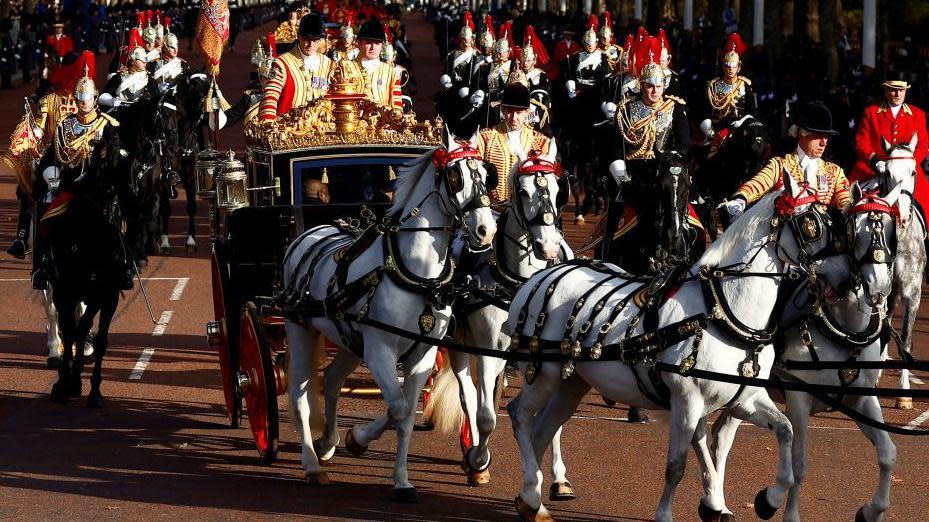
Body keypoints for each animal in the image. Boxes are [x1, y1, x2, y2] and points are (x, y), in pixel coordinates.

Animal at [282, 136, 496, 498]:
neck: (417, 275)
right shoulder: (380, 349)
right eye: (456, 176)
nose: (486, 230)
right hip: (300, 329)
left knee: (332, 380)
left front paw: (400, 479)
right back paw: (311, 464)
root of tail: (308, 234)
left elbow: (406, 415)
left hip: (349, 341)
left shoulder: (421, 355)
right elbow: (397, 407)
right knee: (299, 394)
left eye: (486, 174)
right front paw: (359, 439)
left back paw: (327, 443)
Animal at [430, 153, 576, 492]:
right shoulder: (488, 350)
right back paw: (472, 456)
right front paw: (479, 460)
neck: (522, 284)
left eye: (558, 190)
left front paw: (559, 477)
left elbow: (553, 416)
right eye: (522, 192)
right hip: (460, 347)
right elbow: (485, 414)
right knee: (469, 396)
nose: (548, 247)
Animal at [508, 176, 832, 520]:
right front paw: (668, 513)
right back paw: (532, 491)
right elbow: (676, 466)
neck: (722, 312)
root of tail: (540, 277)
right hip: (544, 374)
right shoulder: (686, 401)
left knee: (542, 431)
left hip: (572, 383)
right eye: (811, 224)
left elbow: (785, 430)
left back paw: (533, 499)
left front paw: (768, 498)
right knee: (520, 416)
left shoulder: (745, 400)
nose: (842, 277)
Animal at [704, 185, 900, 516]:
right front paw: (775, 504)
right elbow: (800, 465)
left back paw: (718, 506)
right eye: (855, 230)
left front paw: (871, 511)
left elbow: (888, 453)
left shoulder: (861, 398)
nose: (879, 288)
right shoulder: (798, 399)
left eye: (890, 229)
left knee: (721, 436)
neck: (844, 329)